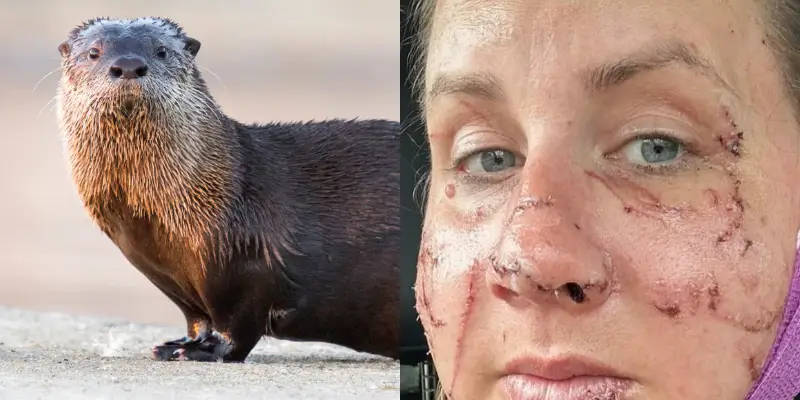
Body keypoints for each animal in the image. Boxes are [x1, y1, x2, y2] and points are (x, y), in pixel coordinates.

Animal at [55, 17, 399, 362]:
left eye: (161, 51)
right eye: (94, 53)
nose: (128, 65)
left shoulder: (248, 263)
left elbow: (238, 327)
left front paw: (204, 350)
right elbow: (197, 318)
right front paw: (179, 344)